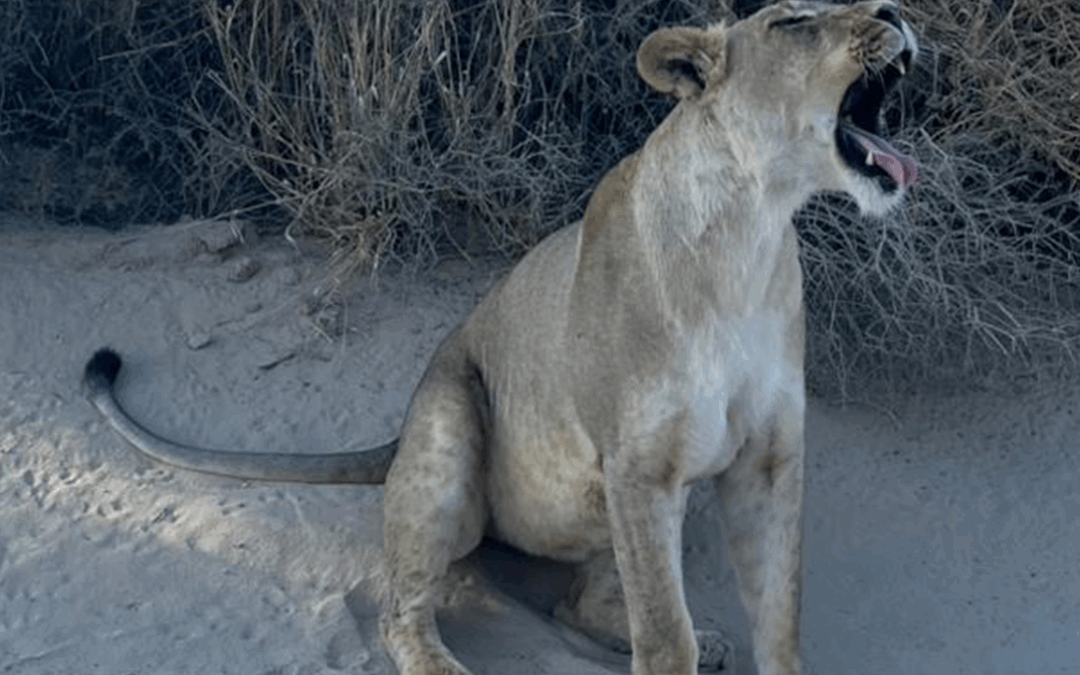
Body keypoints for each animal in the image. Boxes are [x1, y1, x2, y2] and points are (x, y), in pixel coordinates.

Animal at [84, 2, 918, 673]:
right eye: (794, 20)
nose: (897, 11)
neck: (749, 233)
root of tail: (396, 437)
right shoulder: (641, 465)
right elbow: (663, 636)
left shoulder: (764, 461)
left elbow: (777, 623)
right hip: (454, 433)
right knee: (401, 611)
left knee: (576, 604)